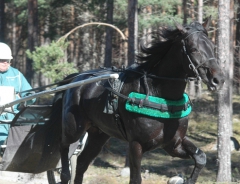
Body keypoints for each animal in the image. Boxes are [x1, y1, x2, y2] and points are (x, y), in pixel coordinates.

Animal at [53, 17, 224, 184]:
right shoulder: (136, 145)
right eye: (194, 49)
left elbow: (200, 157)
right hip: (73, 129)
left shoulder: (173, 144)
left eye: (212, 46)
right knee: (63, 148)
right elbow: (136, 179)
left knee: (82, 164)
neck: (161, 99)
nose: (218, 79)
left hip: (99, 134)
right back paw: (64, 174)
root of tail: (75, 78)